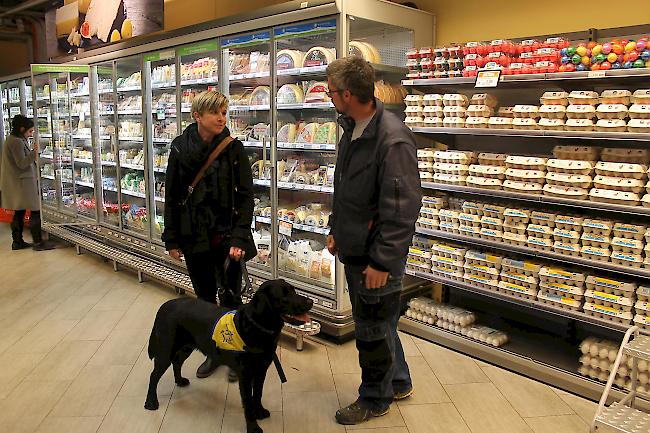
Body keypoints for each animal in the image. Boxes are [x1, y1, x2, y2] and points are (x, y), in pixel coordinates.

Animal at [144, 278, 312, 430]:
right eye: (284, 295)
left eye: (294, 291)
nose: (310, 301)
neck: (257, 326)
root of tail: (165, 305)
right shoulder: (245, 376)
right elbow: (248, 403)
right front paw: (253, 427)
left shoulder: (261, 370)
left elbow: (257, 394)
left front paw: (259, 412)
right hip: (166, 350)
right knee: (154, 375)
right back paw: (151, 402)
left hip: (186, 347)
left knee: (177, 362)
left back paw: (179, 381)